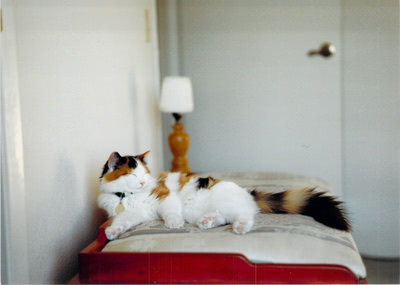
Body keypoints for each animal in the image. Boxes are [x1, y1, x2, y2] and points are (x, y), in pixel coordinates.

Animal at [97, 150, 350, 239]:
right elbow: (121, 222)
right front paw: (112, 232)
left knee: (245, 217)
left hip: (227, 204)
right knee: (223, 217)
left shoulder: (165, 197)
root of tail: (247, 192)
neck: (126, 195)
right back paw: (207, 222)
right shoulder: (132, 214)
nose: (142, 181)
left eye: (144, 173)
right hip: (213, 209)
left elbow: (170, 212)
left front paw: (173, 223)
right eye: (133, 174)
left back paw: (240, 228)